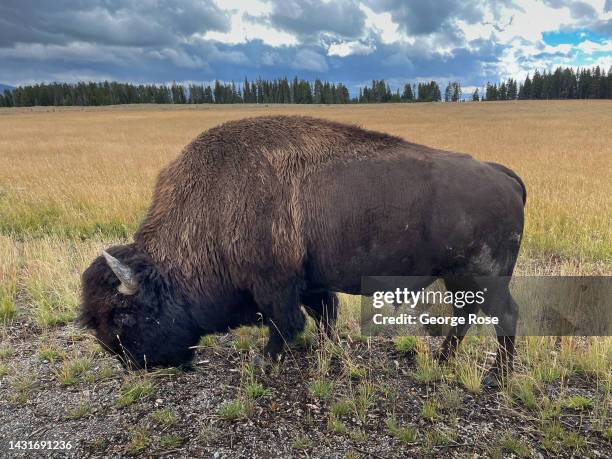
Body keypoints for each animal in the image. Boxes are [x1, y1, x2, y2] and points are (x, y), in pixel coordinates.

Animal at [79, 115, 524, 384]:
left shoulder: (275, 285)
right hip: (459, 278)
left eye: (122, 316)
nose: (133, 364)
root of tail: (502, 174)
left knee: (504, 316)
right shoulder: (310, 281)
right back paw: (445, 360)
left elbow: (285, 324)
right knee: (466, 317)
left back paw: (495, 377)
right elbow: (324, 314)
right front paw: (329, 351)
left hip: (483, 277)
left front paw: (266, 361)